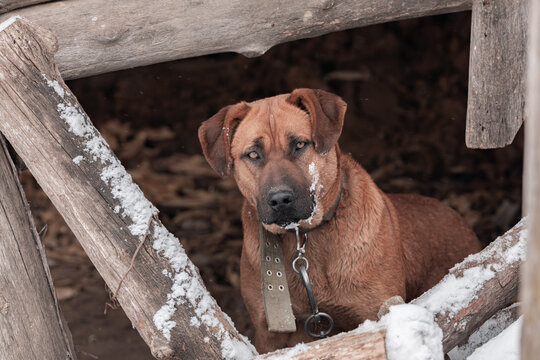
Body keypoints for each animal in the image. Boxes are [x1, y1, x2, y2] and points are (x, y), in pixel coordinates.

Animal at [198, 88, 480, 352]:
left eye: (299, 145)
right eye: (253, 154)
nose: (279, 200)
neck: (304, 239)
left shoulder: (372, 310)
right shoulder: (271, 333)